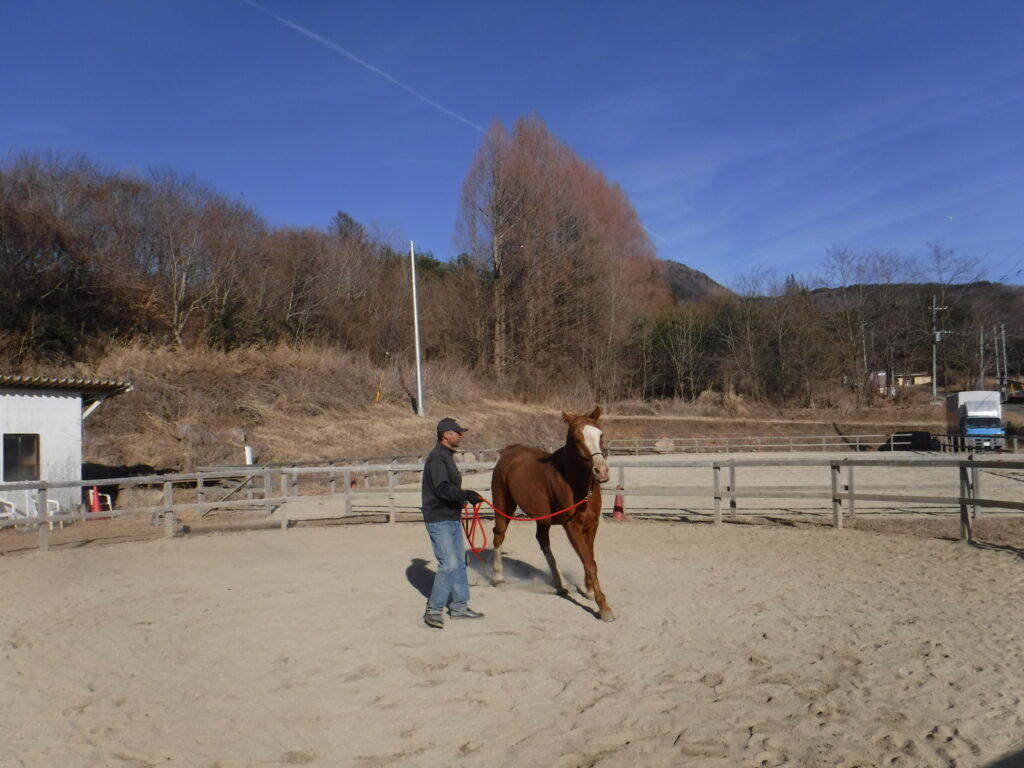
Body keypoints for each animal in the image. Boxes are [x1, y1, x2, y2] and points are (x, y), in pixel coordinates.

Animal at [489, 407, 615, 621]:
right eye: (577, 439)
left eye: (601, 435)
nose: (601, 471)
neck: (576, 484)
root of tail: (509, 453)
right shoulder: (571, 526)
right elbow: (588, 562)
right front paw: (604, 607)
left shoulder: (592, 524)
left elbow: (591, 558)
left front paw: (589, 590)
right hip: (503, 506)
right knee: (499, 534)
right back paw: (498, 577)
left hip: (541, 517)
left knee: (543, 541)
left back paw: (561, 583)